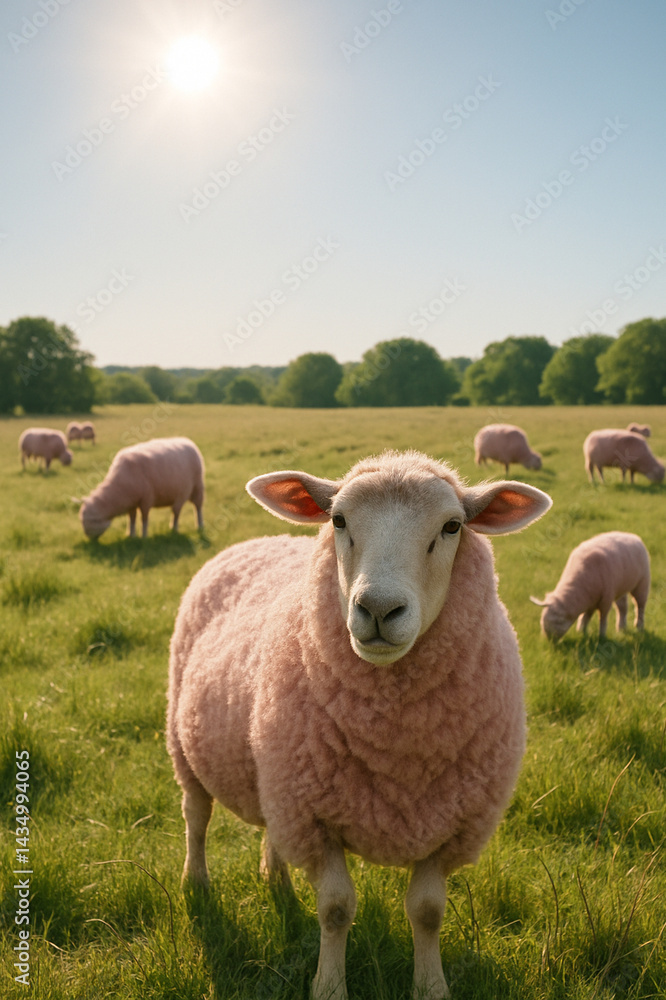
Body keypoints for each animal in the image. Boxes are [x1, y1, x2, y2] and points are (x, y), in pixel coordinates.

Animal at [167, 450, 552, 1000]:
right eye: (338, 520)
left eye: (453, 526)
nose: (378, 610)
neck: (394, 745)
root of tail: (259, 539)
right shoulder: (314, 818)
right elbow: (335, 909)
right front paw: (329, 987)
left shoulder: (452, 825)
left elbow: (427, 912)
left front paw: (431, 986)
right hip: (187, 745)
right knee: (196, 817)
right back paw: (195, 883)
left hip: (274, 771)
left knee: (270, 827)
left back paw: (276, 879)